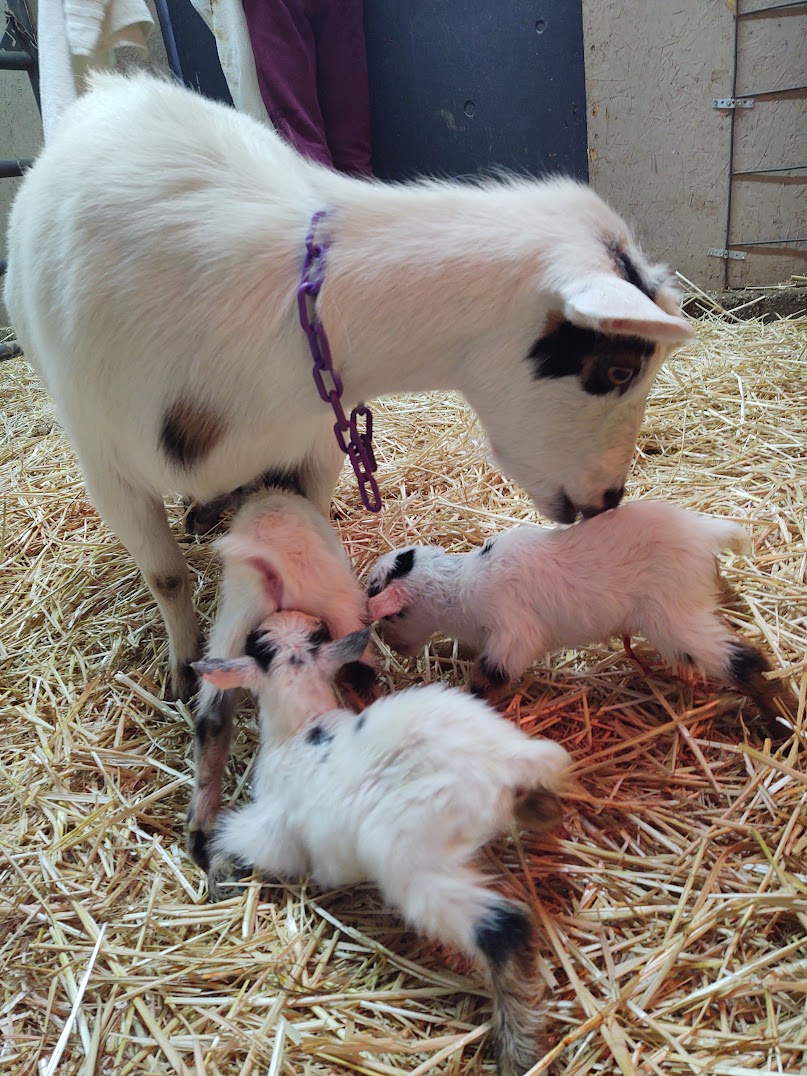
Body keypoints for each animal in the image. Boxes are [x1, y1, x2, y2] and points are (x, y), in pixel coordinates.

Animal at [4, 71, 694, 698]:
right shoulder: (107, 463)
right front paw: (181, 667)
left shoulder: (312, 445)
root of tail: (114, 83)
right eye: (618, 369)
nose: (609, 499)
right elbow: (166, 576)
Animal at [189, 486, 375, 867]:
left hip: (231, 629)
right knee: (360, 677)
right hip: (341, 608)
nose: (194, 522)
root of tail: (275, 571)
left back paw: (200, 837)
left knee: (211, 720)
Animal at [194, 610, 571, 1076]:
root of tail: (502, 762)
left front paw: (219, 879)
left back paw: (520, 1052)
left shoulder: (275, 830)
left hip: (412, 861)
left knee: (504, 928)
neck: (303, 726)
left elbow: (230, 835)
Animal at [366, 501, 797, 737]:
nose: (396, 649)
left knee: (746, 660)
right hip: (696, 594)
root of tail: (706, 532)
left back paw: (782, 722)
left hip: (674, 620)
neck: (461, 586)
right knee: (729, 601)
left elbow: (489, 677)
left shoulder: (513, 636)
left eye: (392, 617)